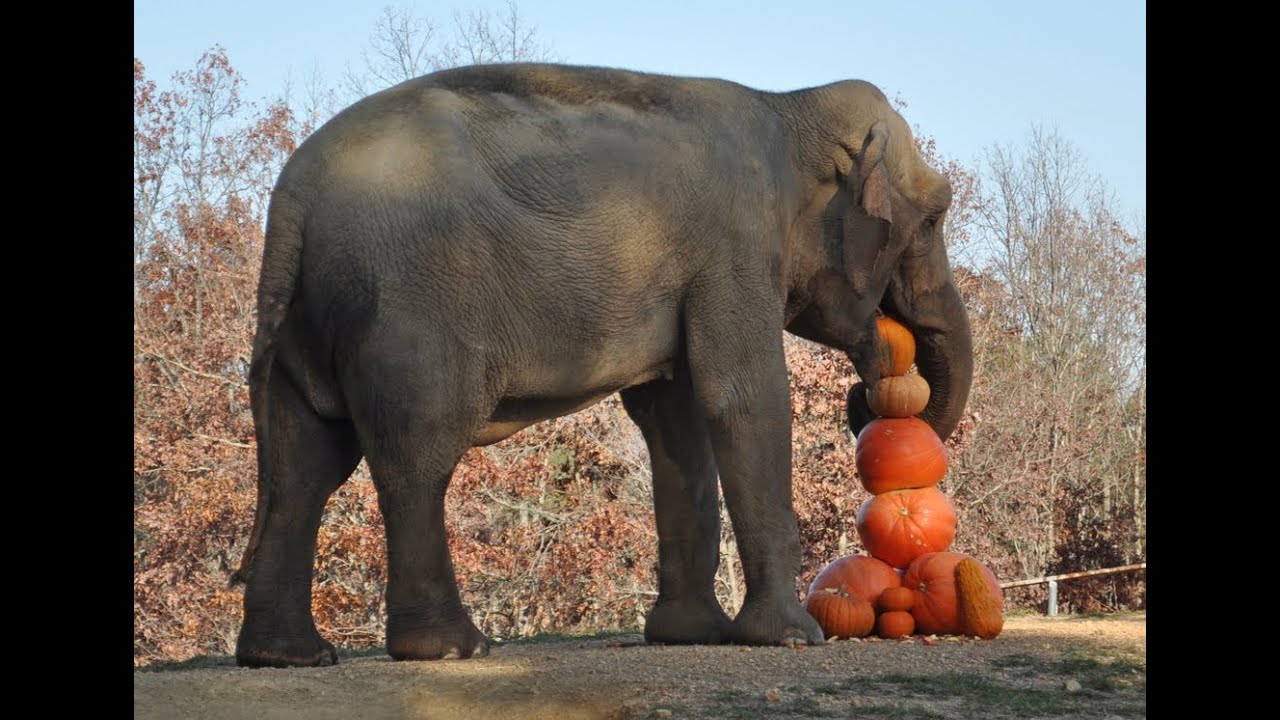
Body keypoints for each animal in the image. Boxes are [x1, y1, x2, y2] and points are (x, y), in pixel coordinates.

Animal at [230, 62, 973, 668]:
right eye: (935, 217)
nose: (867, 391)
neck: (790, 105)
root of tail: (292, 200)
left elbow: (676, 419)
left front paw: (688, 637)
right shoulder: (735, 250)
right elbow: (743, 398)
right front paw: (792, 639)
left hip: (310, 318)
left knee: (304, 467)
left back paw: (289, 657)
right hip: (409, 310)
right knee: (416, 458)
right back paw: (451, 649)